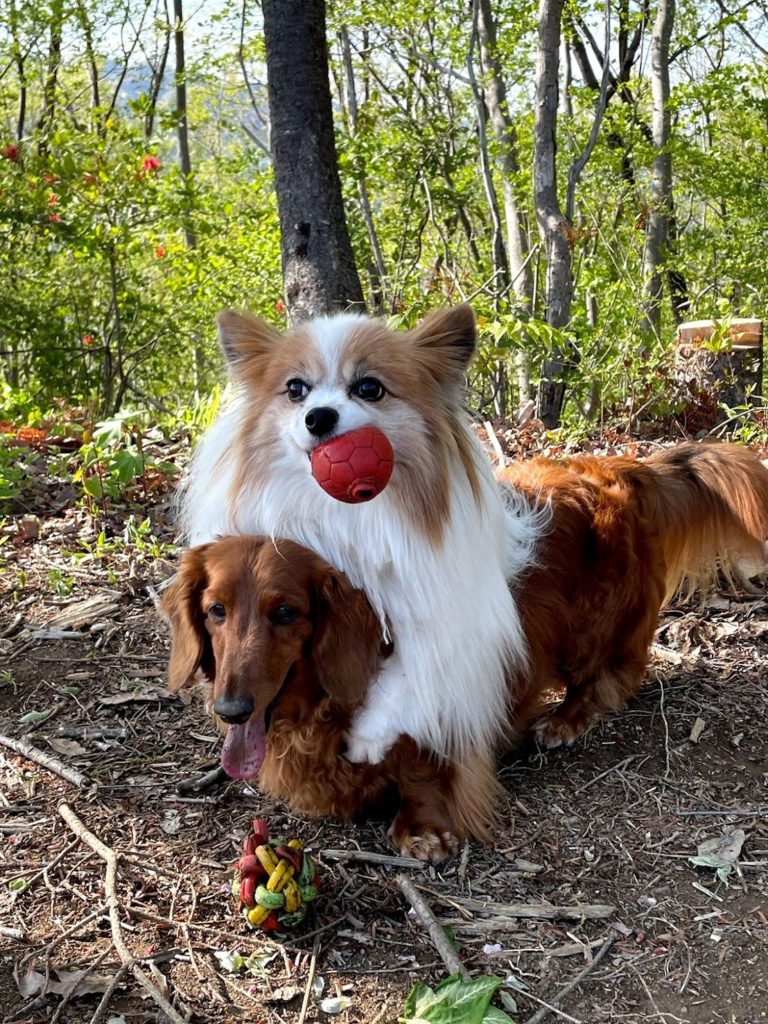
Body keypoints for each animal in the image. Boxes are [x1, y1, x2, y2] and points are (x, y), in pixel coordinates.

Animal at [179, 305, 541, 767]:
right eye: (295, 389)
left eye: (369, 388)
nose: (318, 416)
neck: (343, 515)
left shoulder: (457, 613)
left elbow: (416, 666)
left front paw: (368, 736)